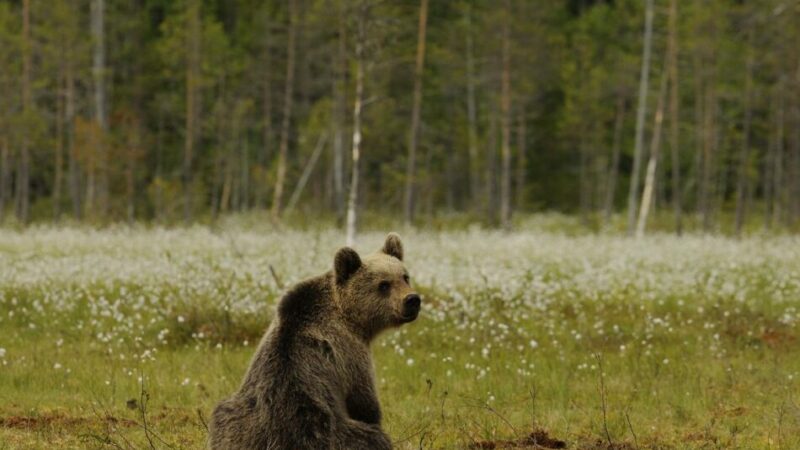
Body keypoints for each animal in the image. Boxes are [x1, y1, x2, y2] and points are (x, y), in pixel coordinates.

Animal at [208, 233, 421, 450]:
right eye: (384, 285)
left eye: (405, 277)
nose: (412, 300)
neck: (350, 317)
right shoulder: (350, 352)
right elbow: (364, 402)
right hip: (325, 431)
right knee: (370, 438)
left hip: (236, 420)